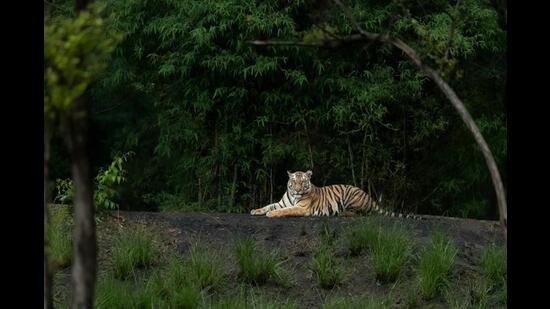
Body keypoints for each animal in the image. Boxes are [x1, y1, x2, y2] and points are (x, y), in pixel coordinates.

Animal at [250, 170, 422, 218]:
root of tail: (369, 197)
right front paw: (255, 210)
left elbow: (285, 210)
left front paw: (271, 214)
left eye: (303, 182)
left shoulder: (302, 208)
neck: (294, 196)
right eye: (294, 181)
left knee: (362, 213)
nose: (298, 190)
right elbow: (268, 205)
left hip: (350, 195)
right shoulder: (281, 202)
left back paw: (343, 213)